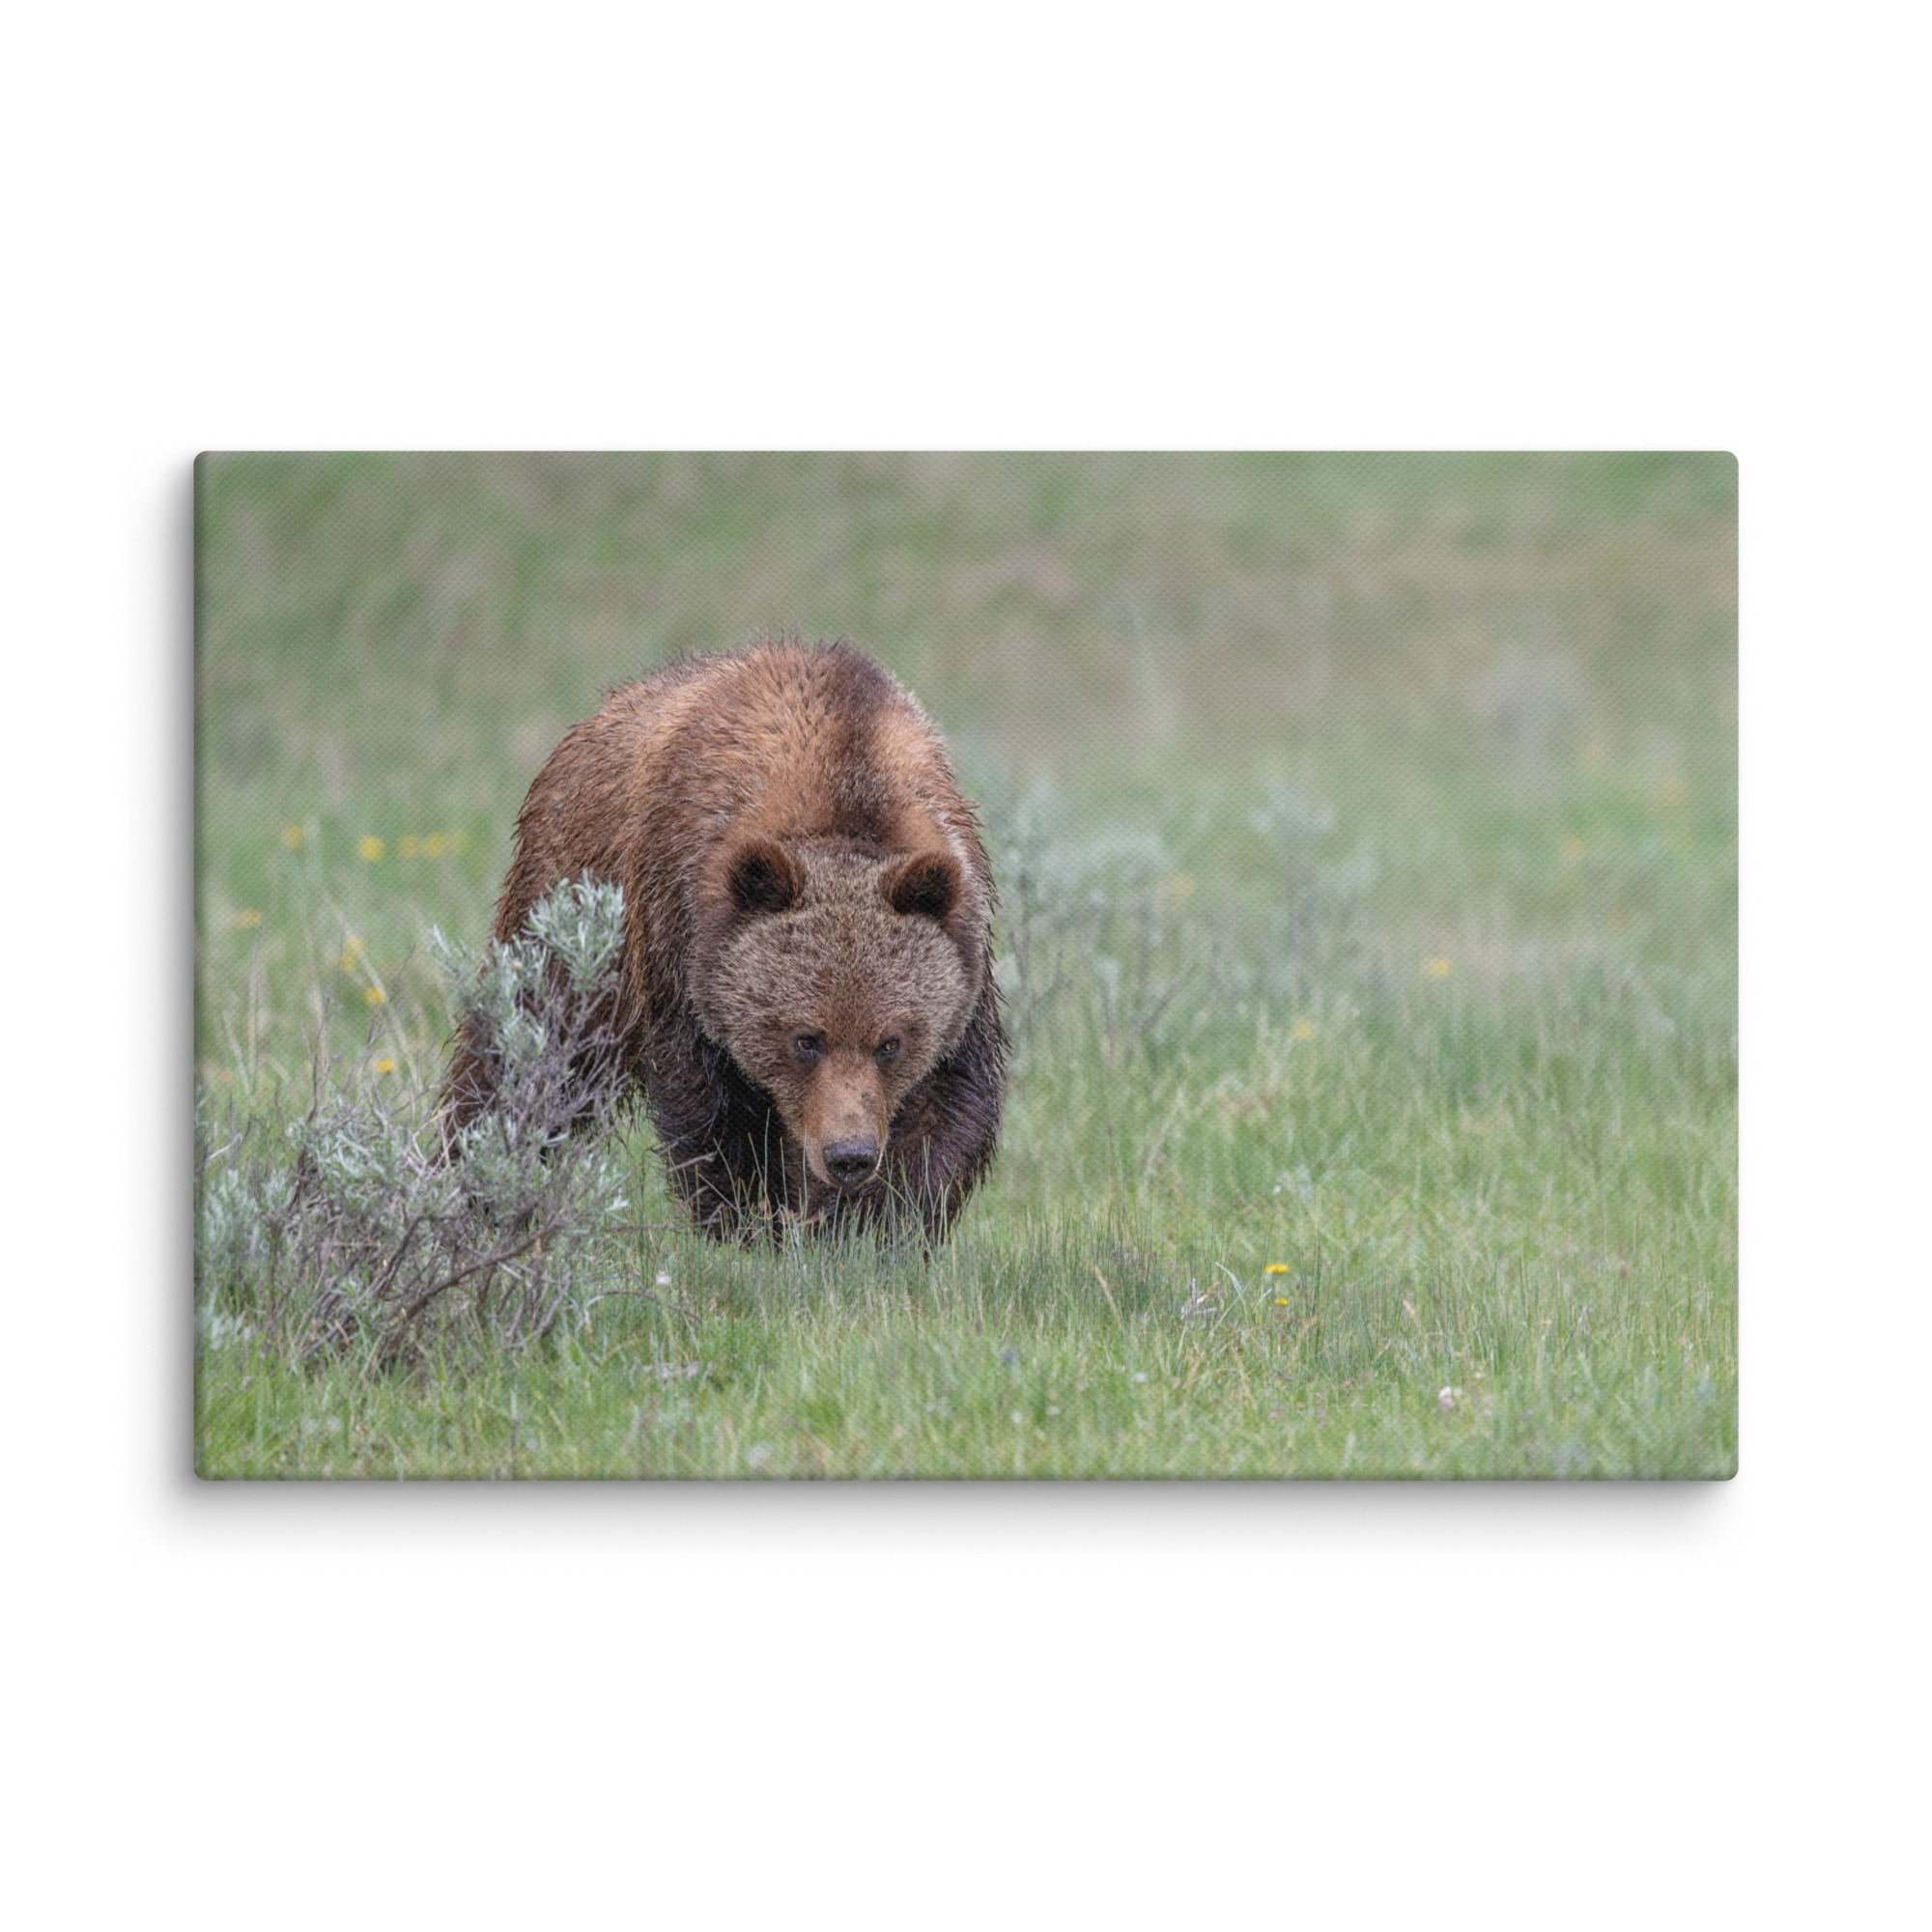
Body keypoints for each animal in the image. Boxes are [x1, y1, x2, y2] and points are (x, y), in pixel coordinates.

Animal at [440, 636, 1008, 1244]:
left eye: (891, 1042)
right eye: (805, 1039)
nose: (848, 1155)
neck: (844, 784)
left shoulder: (964, 954)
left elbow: (946, 1108)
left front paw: (870, 1227)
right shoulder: (681, 941)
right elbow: (713, 1112)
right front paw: (749, 1223)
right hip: (570, 910)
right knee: (527, 1051)